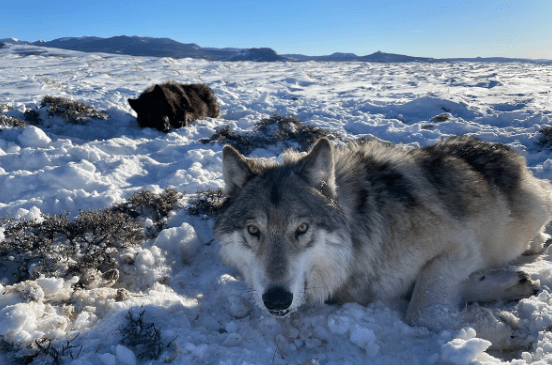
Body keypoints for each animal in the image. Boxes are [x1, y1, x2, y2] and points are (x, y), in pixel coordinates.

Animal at [215, 136, 552, 330]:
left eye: (301, 229)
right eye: (253, 230)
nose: (276, 300)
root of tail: (509, 152)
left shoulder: (462, 247)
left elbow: (422, 310)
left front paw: (498, 326)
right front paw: (500, 286)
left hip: (532, 211)